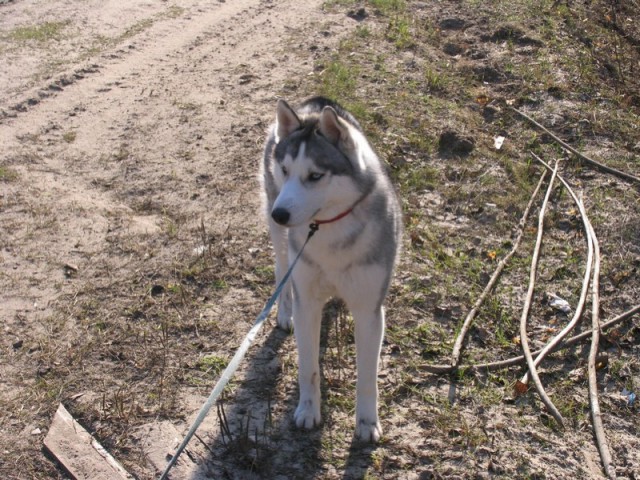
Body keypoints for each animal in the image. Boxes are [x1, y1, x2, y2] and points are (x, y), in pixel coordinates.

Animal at [260, 95, 400, 440]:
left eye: (315, 176)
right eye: (285, 170)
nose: (279, 214)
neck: (328, 229)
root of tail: (314, 102)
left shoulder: (369, 311)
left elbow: (367, 378)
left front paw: (367, 422)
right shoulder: (308, 302)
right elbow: (308, 367)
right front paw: (308, 411)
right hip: (280, 239)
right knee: (282, 270)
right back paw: (284, 312)